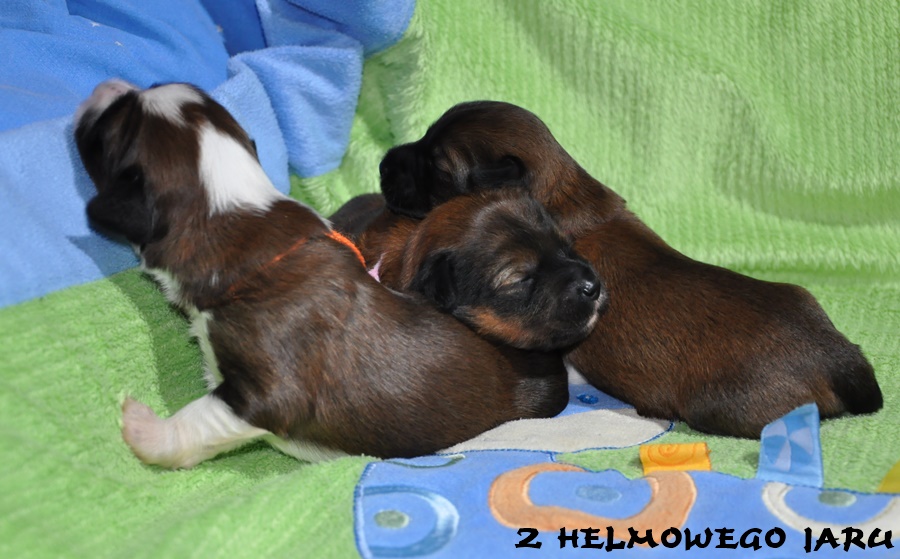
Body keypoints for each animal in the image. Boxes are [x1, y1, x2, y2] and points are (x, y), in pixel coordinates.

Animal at [75, 82, 571, 467]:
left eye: (108, 128)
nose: (107, 86)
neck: (243, 221)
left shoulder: (268, 391)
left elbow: (199, 419)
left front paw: (140, 425)